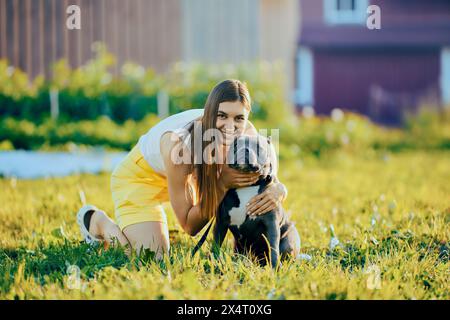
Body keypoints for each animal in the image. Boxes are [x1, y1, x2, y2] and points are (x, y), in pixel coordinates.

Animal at [212, 134, 302, 268]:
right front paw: (213, 261)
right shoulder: (221, 222)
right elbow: (216, 245)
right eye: (235, 145)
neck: (248, 186)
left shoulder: (272, 224)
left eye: (258, 146)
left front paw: (275, 268)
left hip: (289, 239)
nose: (245, 149)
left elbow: (273, 248)